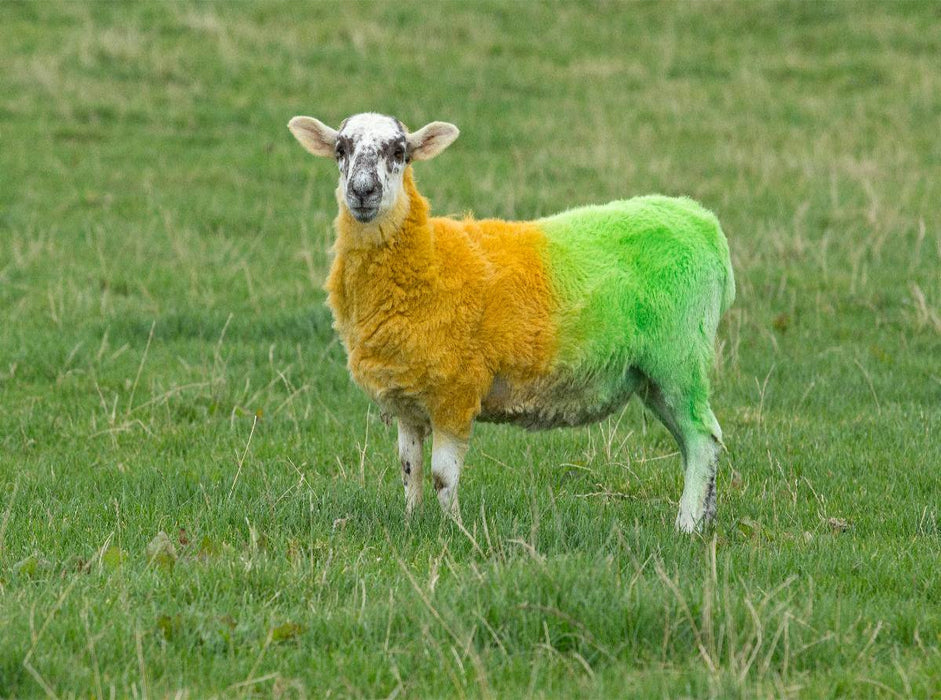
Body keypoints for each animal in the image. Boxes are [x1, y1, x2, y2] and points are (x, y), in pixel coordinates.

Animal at [288, 112, 735, 533]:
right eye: (341, 149)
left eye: (400, 152)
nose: (363, 192)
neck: (427, 257)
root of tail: (703, 223)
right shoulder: (408, 401)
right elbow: (409, 470)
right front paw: (412, 522)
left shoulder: (456, 391)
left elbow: (442, 477)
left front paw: (454, 531)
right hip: (653, 374)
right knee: (694, 443)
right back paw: (705, 519)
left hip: (678, 357)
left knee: (702, 437)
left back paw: (686, 526)